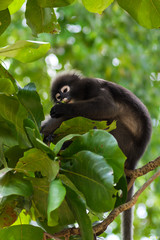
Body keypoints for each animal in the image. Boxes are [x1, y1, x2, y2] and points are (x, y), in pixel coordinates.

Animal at [40, 72, 152, 240]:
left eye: (65, 90)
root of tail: (134, 159)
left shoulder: (94, 86)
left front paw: (63, 108)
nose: (63, 98)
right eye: (58, 96)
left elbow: (108, 107)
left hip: (121, 140)